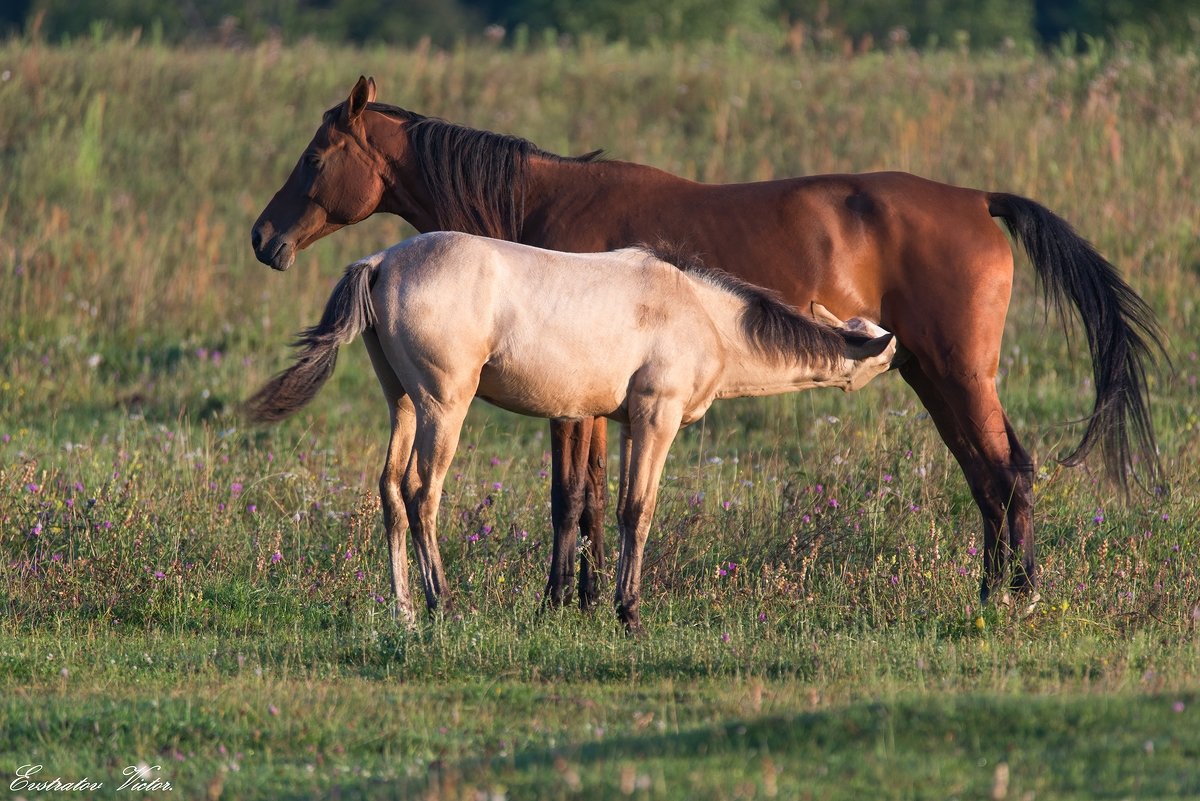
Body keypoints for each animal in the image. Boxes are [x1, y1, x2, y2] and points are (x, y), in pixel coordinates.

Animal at [248, 231, 897, 633]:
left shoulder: (629, 425)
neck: (702, 313)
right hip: (443, 407)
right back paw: (442, 604)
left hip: (403, 404)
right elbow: (638, 510)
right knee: (420, 494)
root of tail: (382, 261)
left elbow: (614, 509)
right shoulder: (657, 419)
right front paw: (628, 612)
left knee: (388, 493)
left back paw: (404, 611)